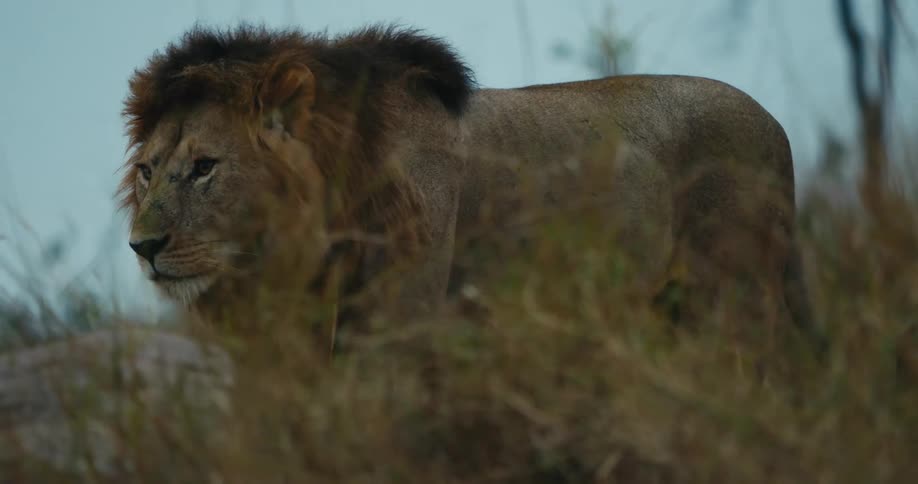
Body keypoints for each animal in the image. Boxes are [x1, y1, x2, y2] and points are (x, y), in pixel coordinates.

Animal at [119, 24, 817, 342]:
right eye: (147, 170)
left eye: (205, 167)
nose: (142, 248)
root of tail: (776, 124)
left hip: (733, 298)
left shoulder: (399, 316)